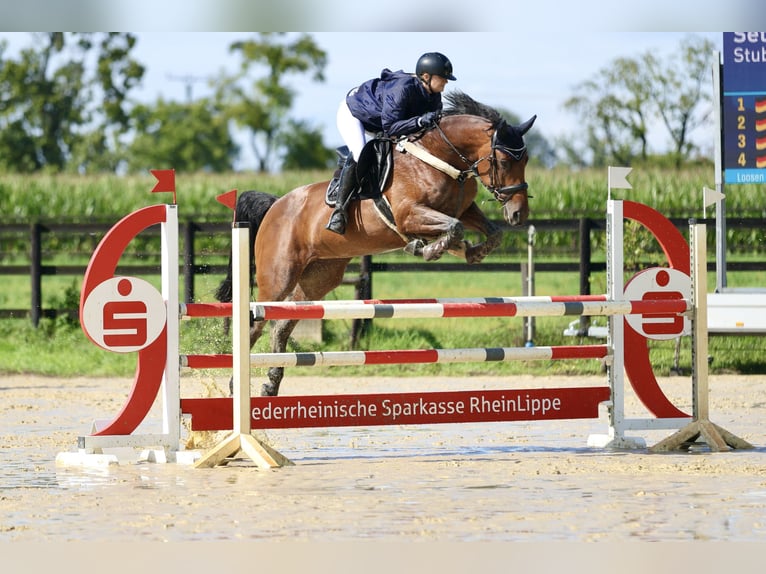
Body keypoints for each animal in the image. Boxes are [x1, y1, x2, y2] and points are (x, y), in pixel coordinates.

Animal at [218, 92, 540, 398]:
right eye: (504, 161)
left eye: (525, 161)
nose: (519, 214)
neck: (441, 158)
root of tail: (275, 205)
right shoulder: (410, 215)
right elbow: (453, 228)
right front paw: (428, 248)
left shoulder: (462, 209)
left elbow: (488, 231)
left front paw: (470, 251)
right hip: (278, 276)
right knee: (256, 323)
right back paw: (236, 384)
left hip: (319, 277)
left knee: (283, 324)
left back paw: (271, 383)